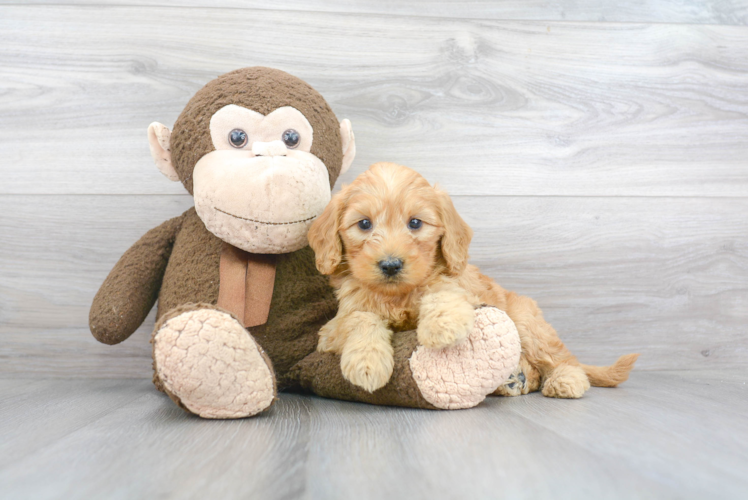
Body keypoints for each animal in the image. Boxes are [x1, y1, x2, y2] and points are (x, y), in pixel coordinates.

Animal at [306, 162, 636, 396]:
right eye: (364, 224)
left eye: (415, 223)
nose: (390, 264)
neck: (397, 295)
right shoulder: (334, 326)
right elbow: (360, 319)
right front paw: (367, 361)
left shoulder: (461, 286)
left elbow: (443, 290)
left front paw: (442, 325)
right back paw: (515, 379)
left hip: (528, 323)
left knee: (560, 358)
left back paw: (565, 379)